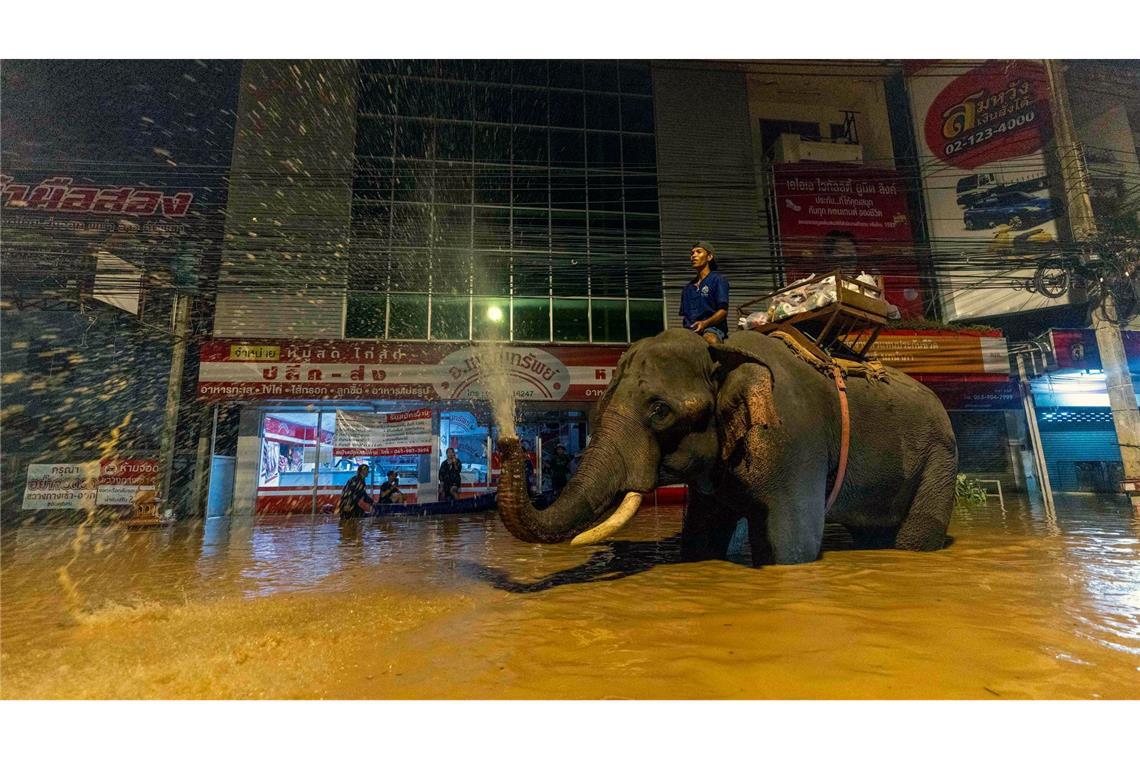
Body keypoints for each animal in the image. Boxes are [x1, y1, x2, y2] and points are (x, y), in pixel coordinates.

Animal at [494, 330, 957, 567]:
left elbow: (792, 546)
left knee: (915, 534)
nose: (509, 440)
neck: (722, 349)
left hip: (940, 457)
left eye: (660, 410)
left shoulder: (795, 439)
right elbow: (703, 535)